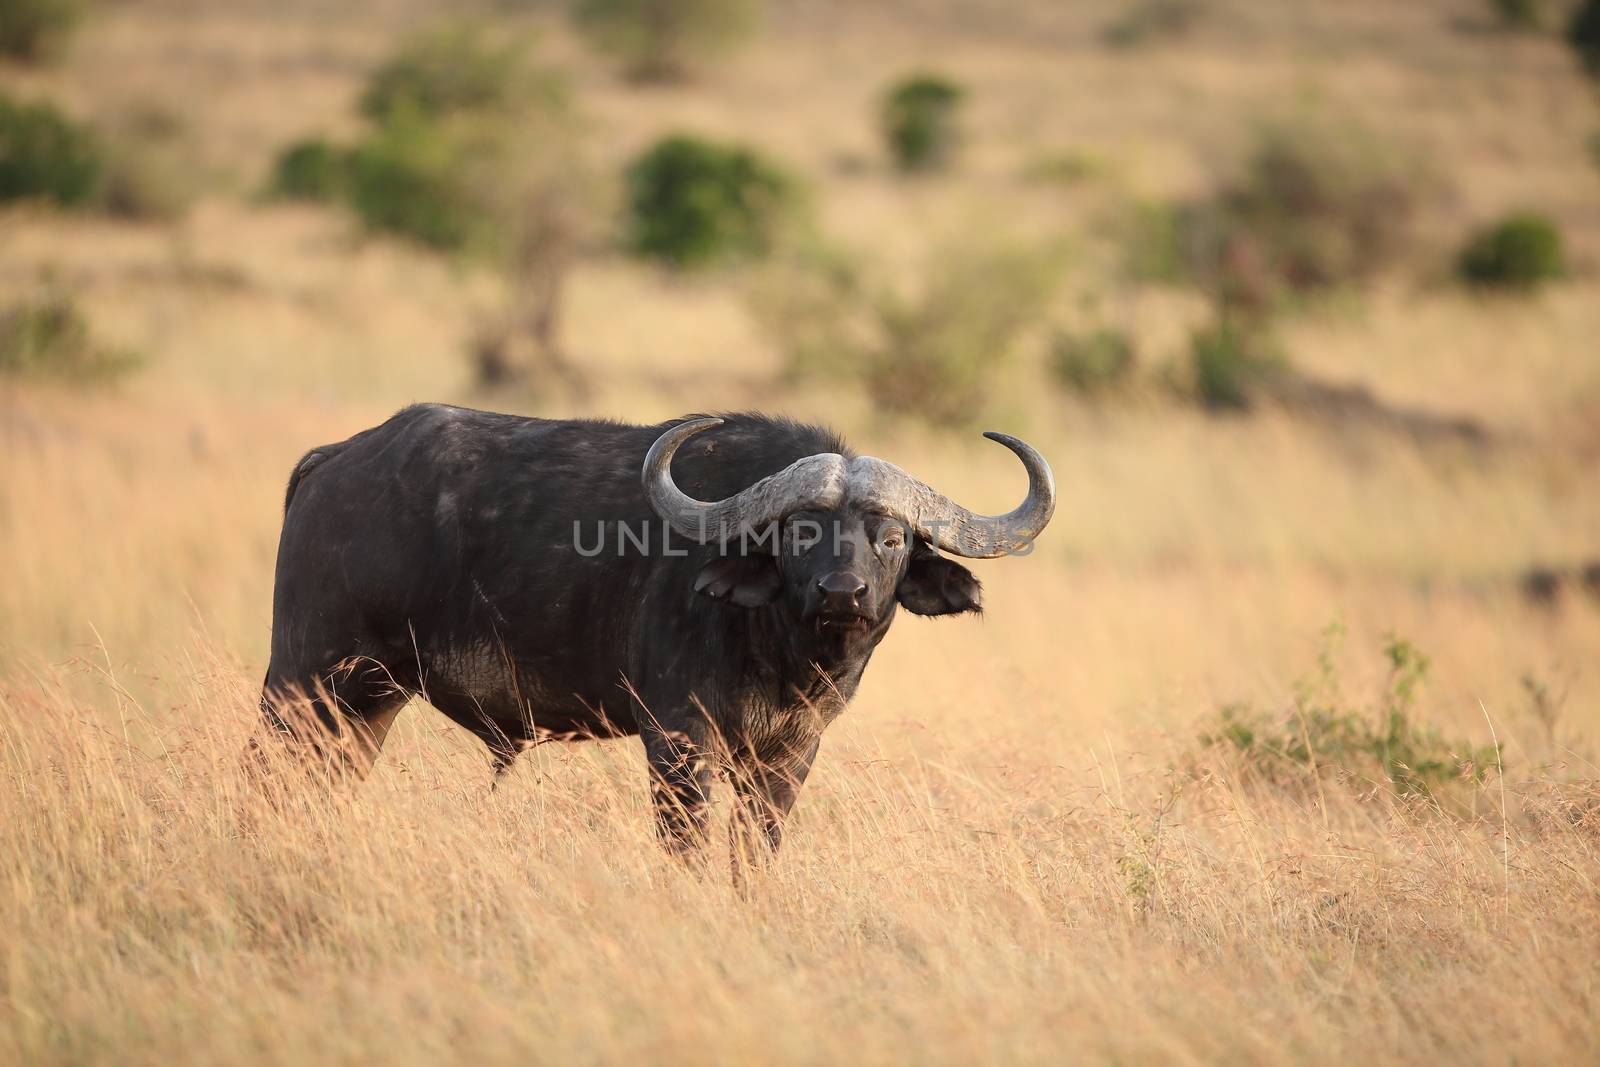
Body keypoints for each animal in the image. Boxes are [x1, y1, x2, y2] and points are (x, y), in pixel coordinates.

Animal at [256, 404, 1056, 857]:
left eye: (890, 537)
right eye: (800, 532)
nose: (843, 592)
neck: (780, 652)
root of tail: (336, 460)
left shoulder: (790, 754)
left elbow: (755, 852)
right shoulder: (676, 738)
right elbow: (687, 848)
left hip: (369, 702)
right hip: (303, 679)